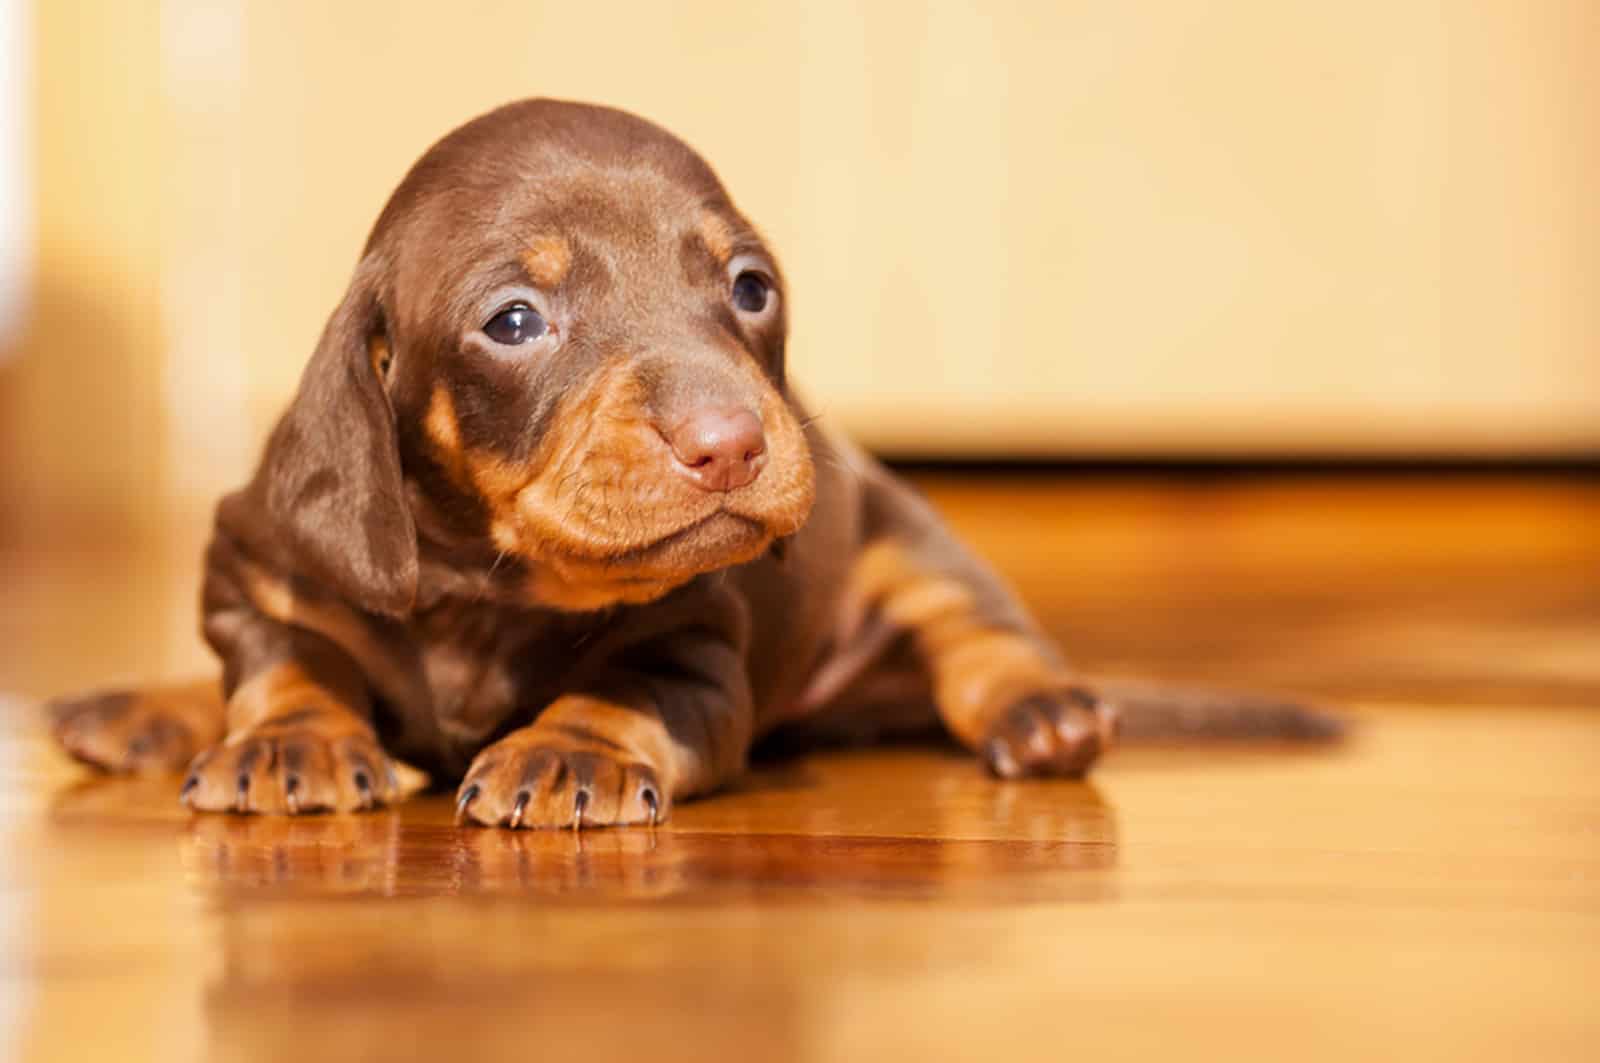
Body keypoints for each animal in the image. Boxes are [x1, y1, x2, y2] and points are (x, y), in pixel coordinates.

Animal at [46, 99, 1324, 832]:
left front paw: (569, 750)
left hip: (908, 538)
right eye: (514, 321)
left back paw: (1043, 707)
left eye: (750, 286)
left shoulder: (697, 646)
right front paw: (290, 737)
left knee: (977, 632)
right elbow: (285, 657)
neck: (484, 579)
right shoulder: (250, 571)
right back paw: (142, 710)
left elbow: (629, 686)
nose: (735, 443)